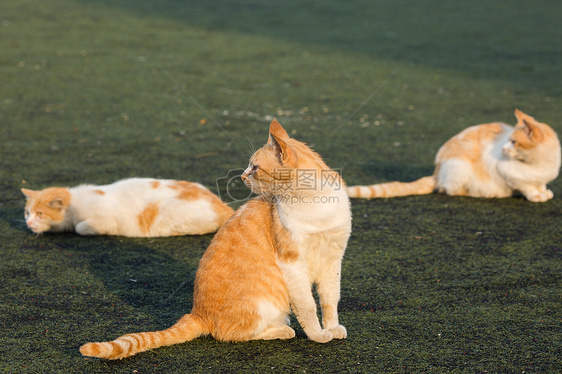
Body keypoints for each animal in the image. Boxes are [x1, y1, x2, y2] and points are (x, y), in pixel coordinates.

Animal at [21, 178, 232, 237]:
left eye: (39, 214)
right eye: (27, 212)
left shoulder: (104, 222)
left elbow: (80, 228)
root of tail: (223, 205)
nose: (28, 223)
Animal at [79, 119, 350, 360]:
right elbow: (308, 307)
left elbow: (329, 300)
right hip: (265, 305)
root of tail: (197, 313)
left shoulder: (333, 261)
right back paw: (282, 330)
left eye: (254, 167)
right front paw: (318, 335)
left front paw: (331, 328)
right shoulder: (292, 263)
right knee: (231, 334)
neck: (315, 206)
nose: (242, 177)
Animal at [348, 109, 556, 203]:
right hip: (459, 167)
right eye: (508, 140)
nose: (504, 149)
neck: (539, 164)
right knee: (450, 190)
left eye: (513, 142)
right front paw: (536, 196)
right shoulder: (508, 173)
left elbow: (540, 184)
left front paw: (544, 191)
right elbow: (526, 186)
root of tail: (437, 172)